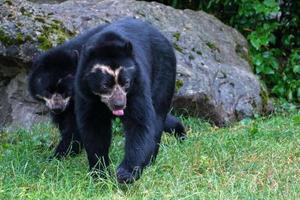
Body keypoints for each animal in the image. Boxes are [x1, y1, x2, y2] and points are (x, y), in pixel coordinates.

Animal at [27, 23, 108, 158]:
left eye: (66, 91)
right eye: (47, 91)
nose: (57, 108)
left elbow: (75, 127)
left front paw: (57, 155)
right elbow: (64, 123)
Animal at [74, 18, 185, 184]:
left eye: (126, 82)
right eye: (105, 85)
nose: (120, 104)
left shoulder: (137, 86)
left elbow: (139, 122)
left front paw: (125, 174)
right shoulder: (85, 93)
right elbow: (94, 128)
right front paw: (99, 173)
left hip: (164, 74)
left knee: (157, 116)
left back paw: (151, 161)